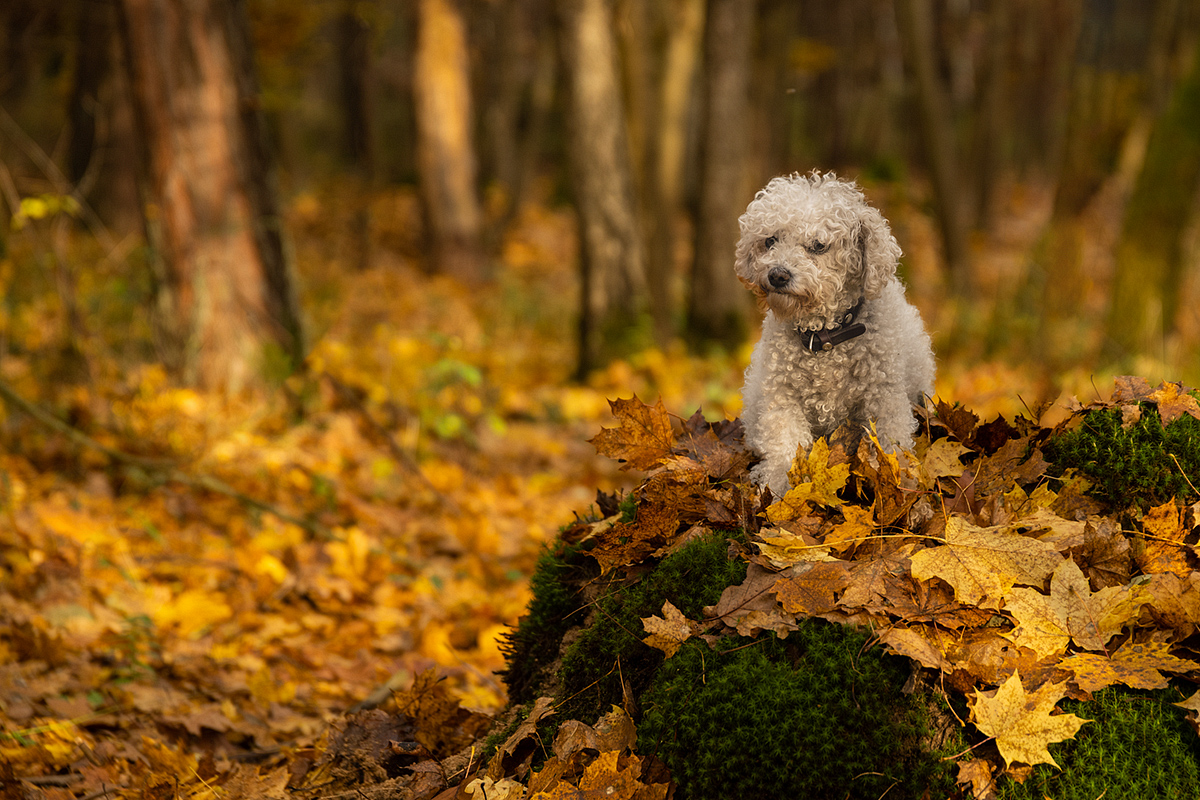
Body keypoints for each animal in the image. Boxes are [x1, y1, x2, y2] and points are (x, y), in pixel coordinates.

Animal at [734, 172, 931, 496]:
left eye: (818, 245)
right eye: (770, 240)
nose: (777, 274)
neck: (824, 337)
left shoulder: (884, 396)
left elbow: (893, 444)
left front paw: (904, 486)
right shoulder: (782, 396)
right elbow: (785, 446)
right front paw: (777, 488)